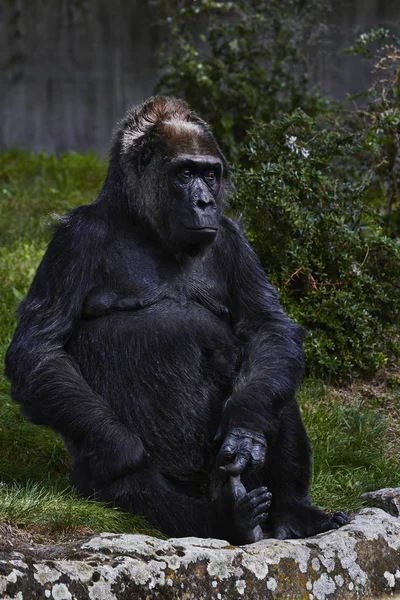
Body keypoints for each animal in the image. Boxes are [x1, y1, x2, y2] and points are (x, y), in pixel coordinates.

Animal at [3, 97, 346, 544]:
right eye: (185, 173)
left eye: (210, 174)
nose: (205, 203)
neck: (140, 222)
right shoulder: (74, 238)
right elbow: (38, 348)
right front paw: (119, 446)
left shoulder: (233, 238)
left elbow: (267, 328)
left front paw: (245, 426)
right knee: (141, 491)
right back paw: (225, 519)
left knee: (270, 376)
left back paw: (294, 512)